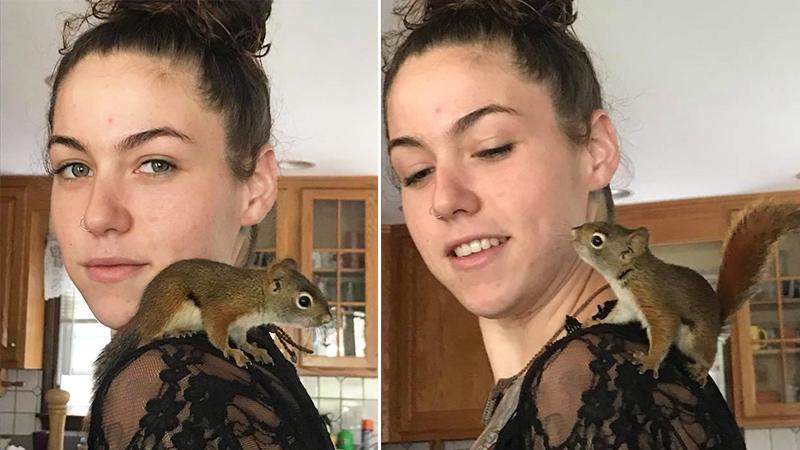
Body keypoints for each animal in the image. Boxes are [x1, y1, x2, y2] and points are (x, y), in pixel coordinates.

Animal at [92, 257, 333, 388]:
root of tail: (142, 312)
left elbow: (242, 340)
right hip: (167, 304)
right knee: (150, 331)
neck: (257, 293)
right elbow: (217, 334)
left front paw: (254, 349)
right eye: (304, 301)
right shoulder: (222, 310)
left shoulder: (240, 325)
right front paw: (233, 352)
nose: (328, 318)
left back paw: (181, 331)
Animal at [571, 202, 800, 384]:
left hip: (695, 340)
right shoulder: (627, 305)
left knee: (708, 355)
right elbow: (617, 316)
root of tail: (717, 324)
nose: (573, 231)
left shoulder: (655, 300)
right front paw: (595, 321)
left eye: (597, 240)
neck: (630, 273)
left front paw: (650, 361)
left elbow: (664, 328)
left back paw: (701, 370)